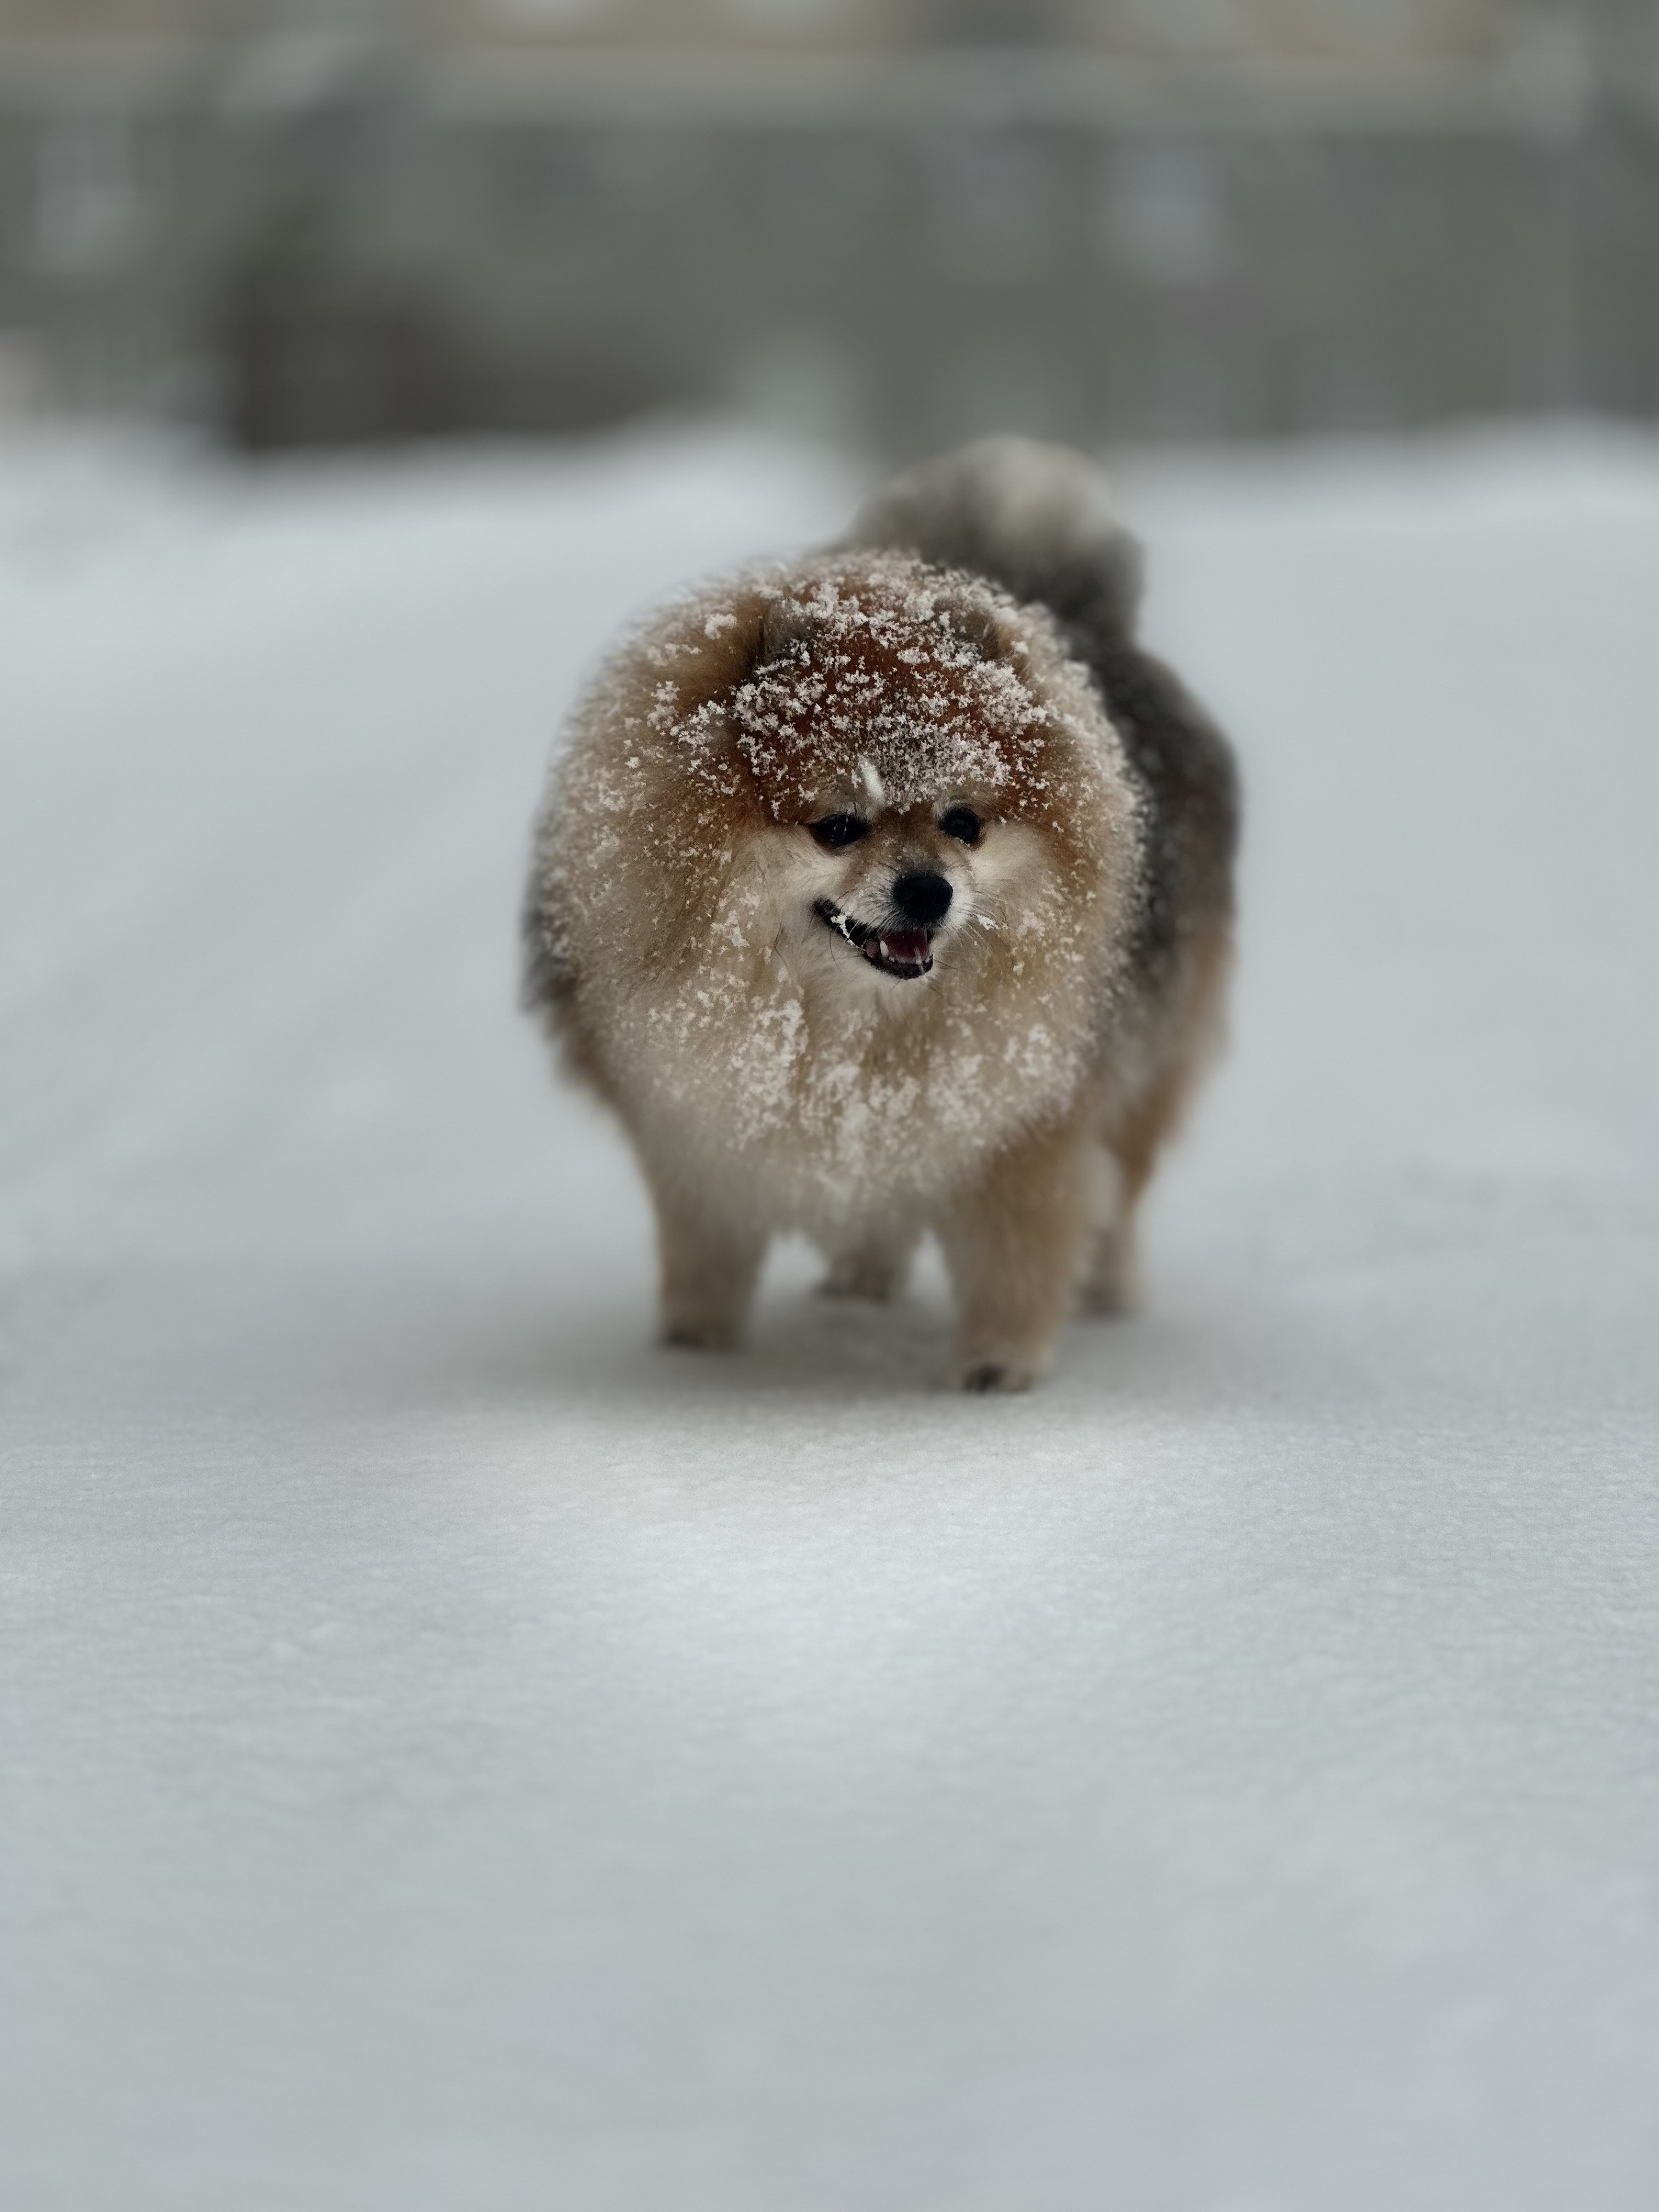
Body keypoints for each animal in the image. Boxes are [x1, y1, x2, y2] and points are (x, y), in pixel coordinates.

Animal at [526, 438, 1238, 1389]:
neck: (849, 1024)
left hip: (1153, 1047)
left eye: (964, 823)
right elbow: (706, 1248)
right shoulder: (690, 1123)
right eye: (838, 827)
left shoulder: (1028, 1121)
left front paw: (998, 1365)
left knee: (1122, 1184)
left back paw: (1109, 1287)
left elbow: (1021, 1250)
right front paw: (696, 1350)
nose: (929, 891)